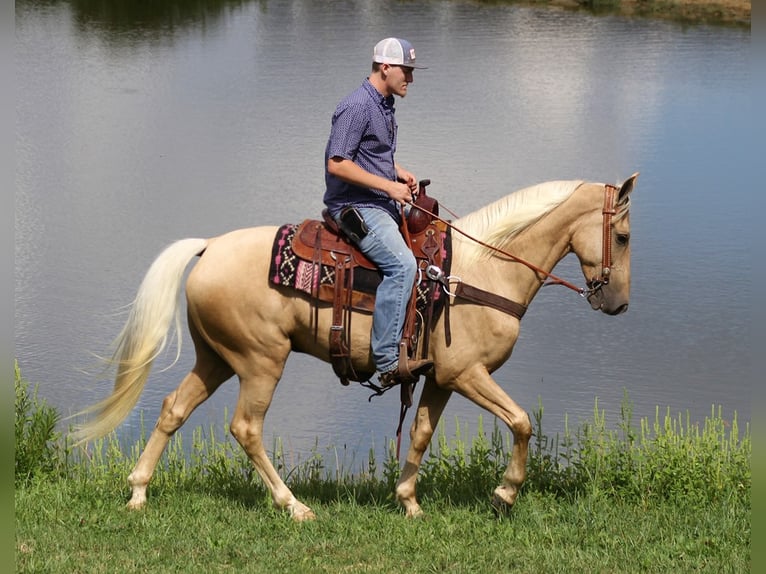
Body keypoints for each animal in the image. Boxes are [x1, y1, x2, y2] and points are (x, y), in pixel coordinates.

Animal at [73, 174, 636, 520]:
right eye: (624, 236)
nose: (619, 304)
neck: (480, 273)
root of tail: (208, 248)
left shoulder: (440, 378)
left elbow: (421, 434)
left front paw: (408, 501)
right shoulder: (468, 374)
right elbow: (521, 422)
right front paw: (504, 494)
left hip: (216, 358)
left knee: (173, 410)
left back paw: (138, 492)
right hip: (260, 361)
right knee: (246, 428)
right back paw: (293, 506)